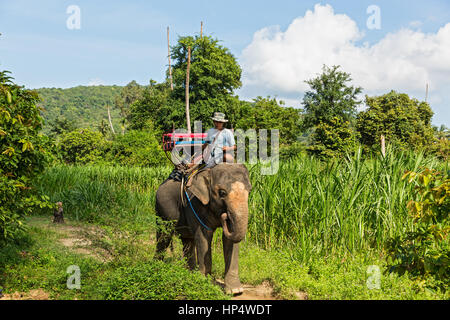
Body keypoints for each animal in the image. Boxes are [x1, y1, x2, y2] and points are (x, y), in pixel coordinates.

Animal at [155, 162, 251, 296]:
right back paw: (157, 267)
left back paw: (189, 274)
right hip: (161, 209)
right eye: (222, 193)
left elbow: (230, 241)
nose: (225, 216)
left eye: (250, 191)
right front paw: (205, 284)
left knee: (187, 240)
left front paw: (235, 291)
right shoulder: (196, 204)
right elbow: (203, 236)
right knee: (164, 237)